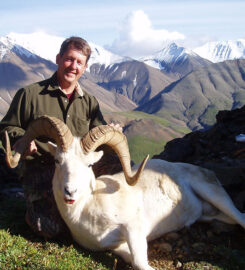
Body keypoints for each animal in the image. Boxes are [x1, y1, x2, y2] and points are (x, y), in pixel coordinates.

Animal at [5, 115, 245, 270]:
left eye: (89, 165)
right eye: (57, 161)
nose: (70, 191)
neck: (87, 214)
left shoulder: (135, 229)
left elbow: (140, 263)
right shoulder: (118, 246)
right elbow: (135, 261)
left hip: (213, 192)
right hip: (209, 214)